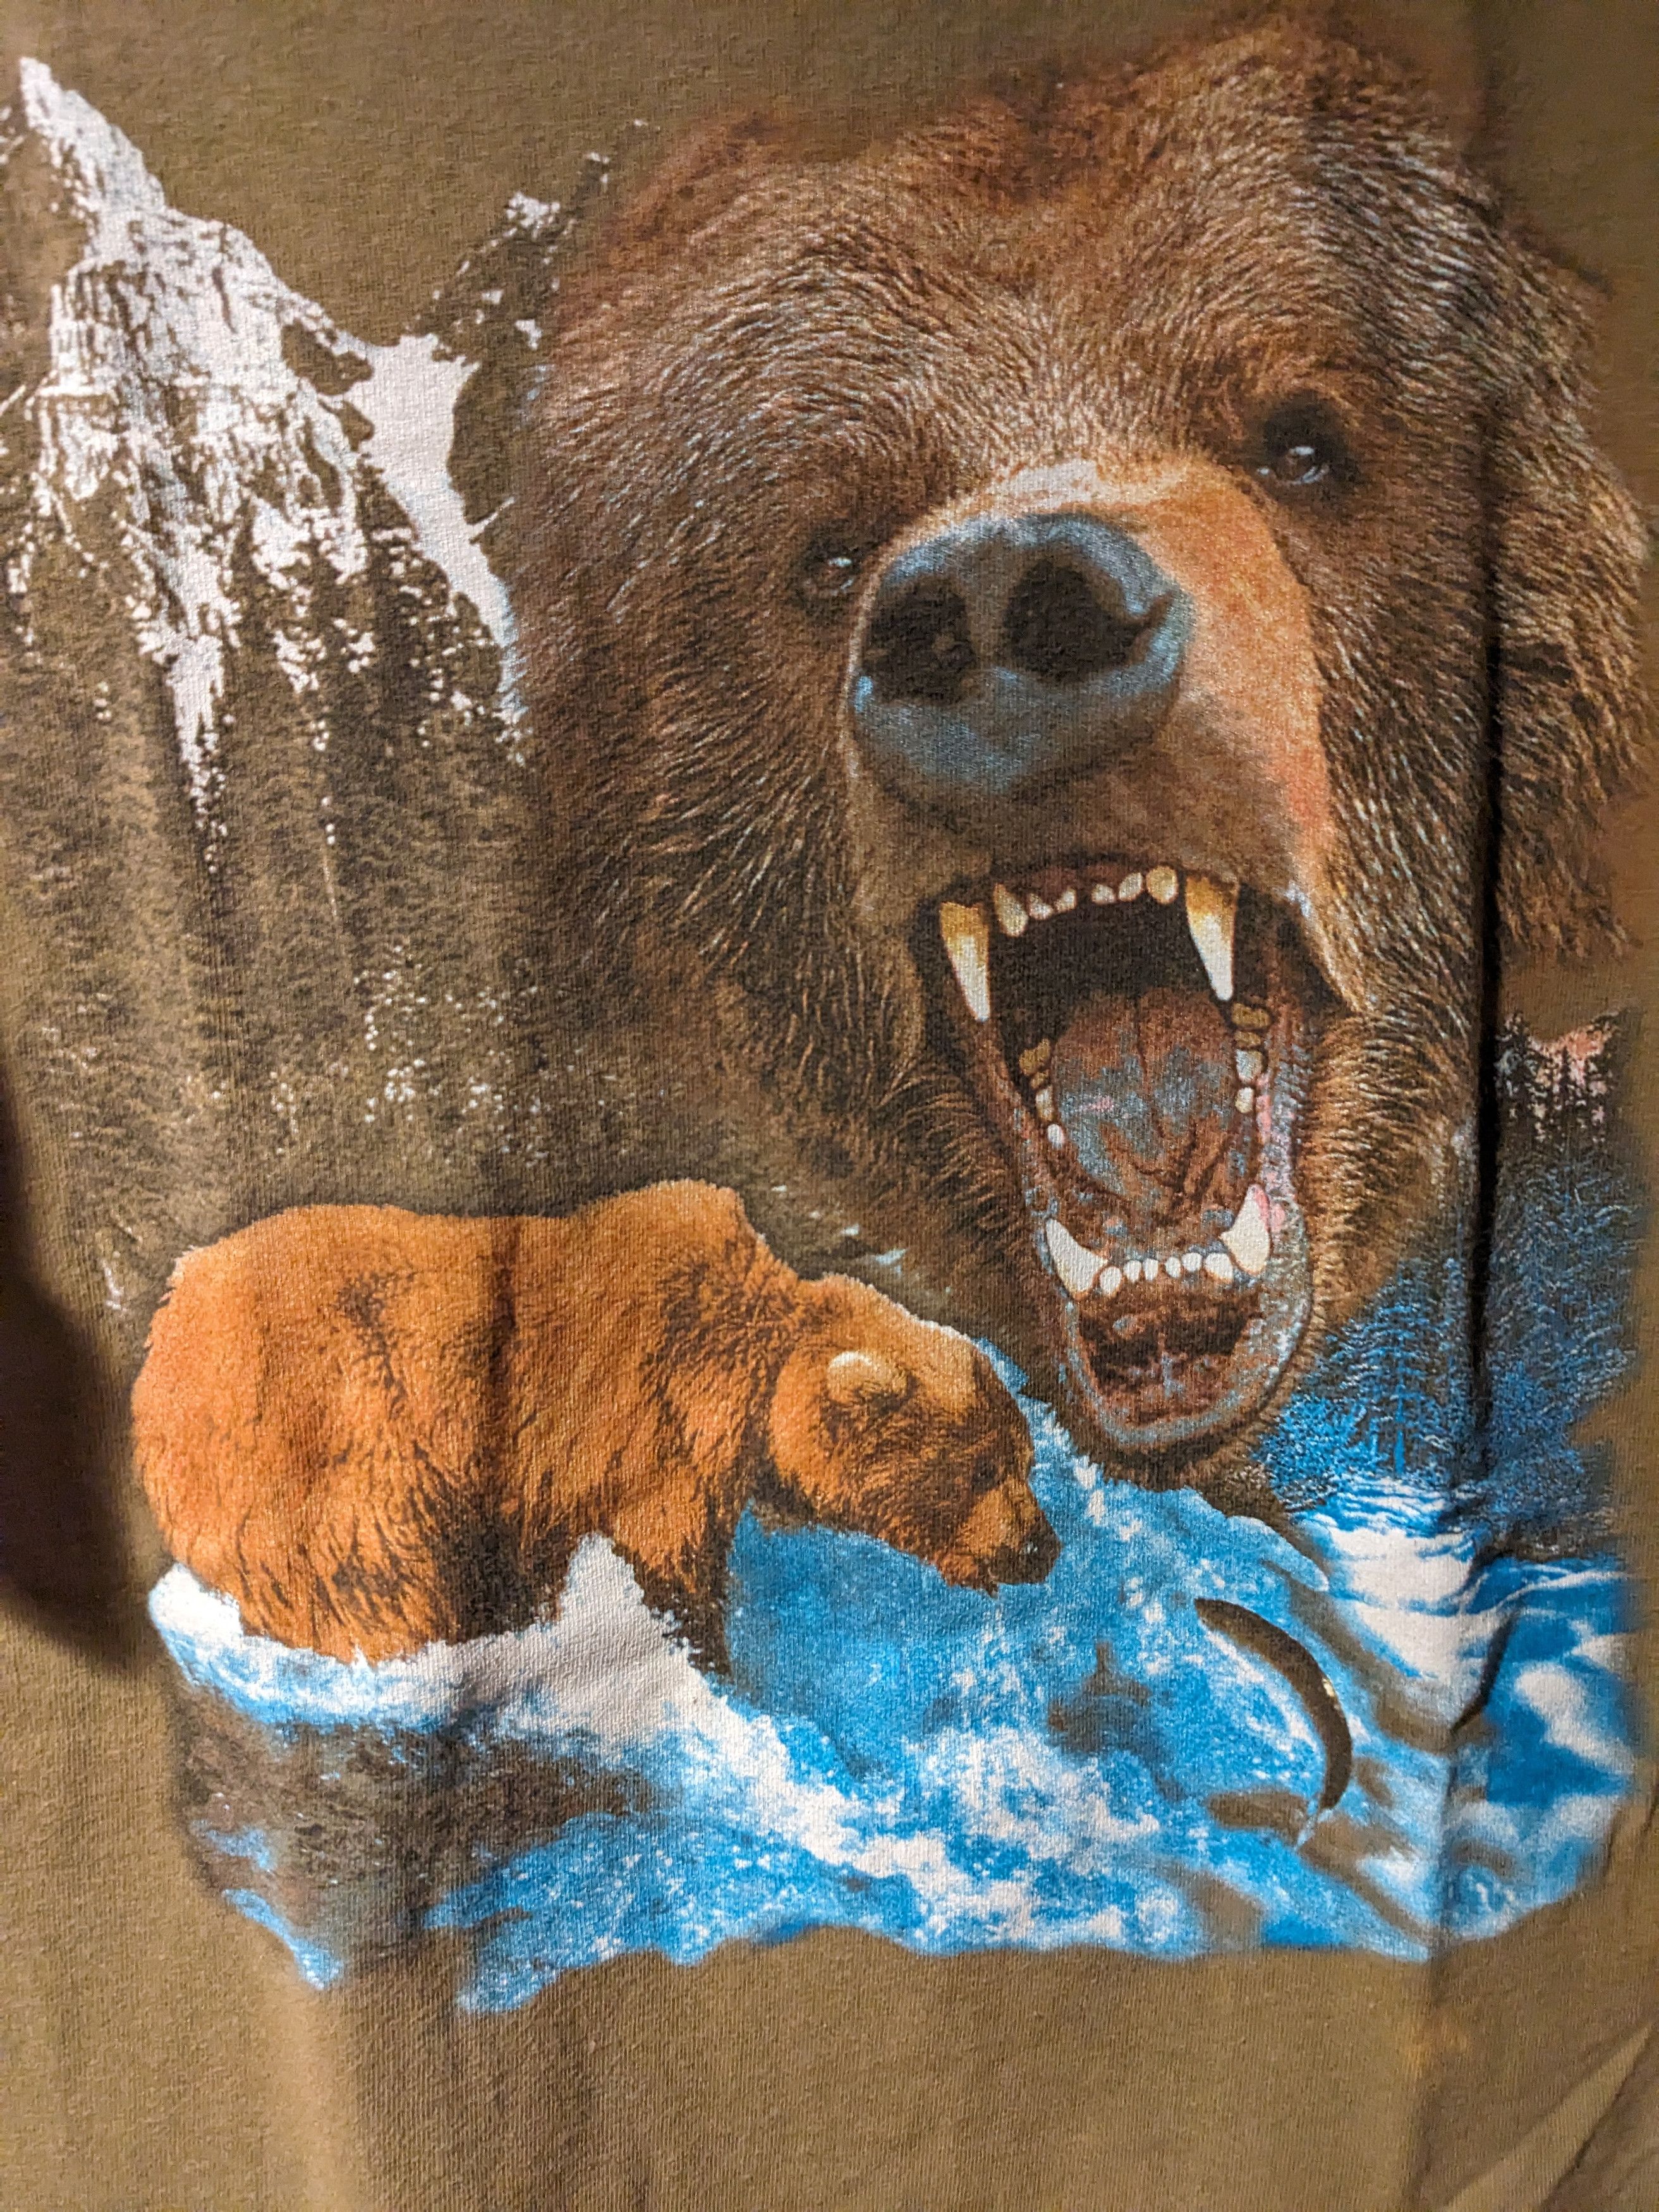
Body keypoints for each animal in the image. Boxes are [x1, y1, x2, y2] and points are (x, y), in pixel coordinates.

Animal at [131, 1180, 1056, 1666]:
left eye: (1025, 1459)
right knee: (369, 1573)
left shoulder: (539, 1492)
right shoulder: (651, 1440)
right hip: (331, 1428)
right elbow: (671, 1569)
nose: (1042, 1547)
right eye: (981, 1469)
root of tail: (163, 1334)